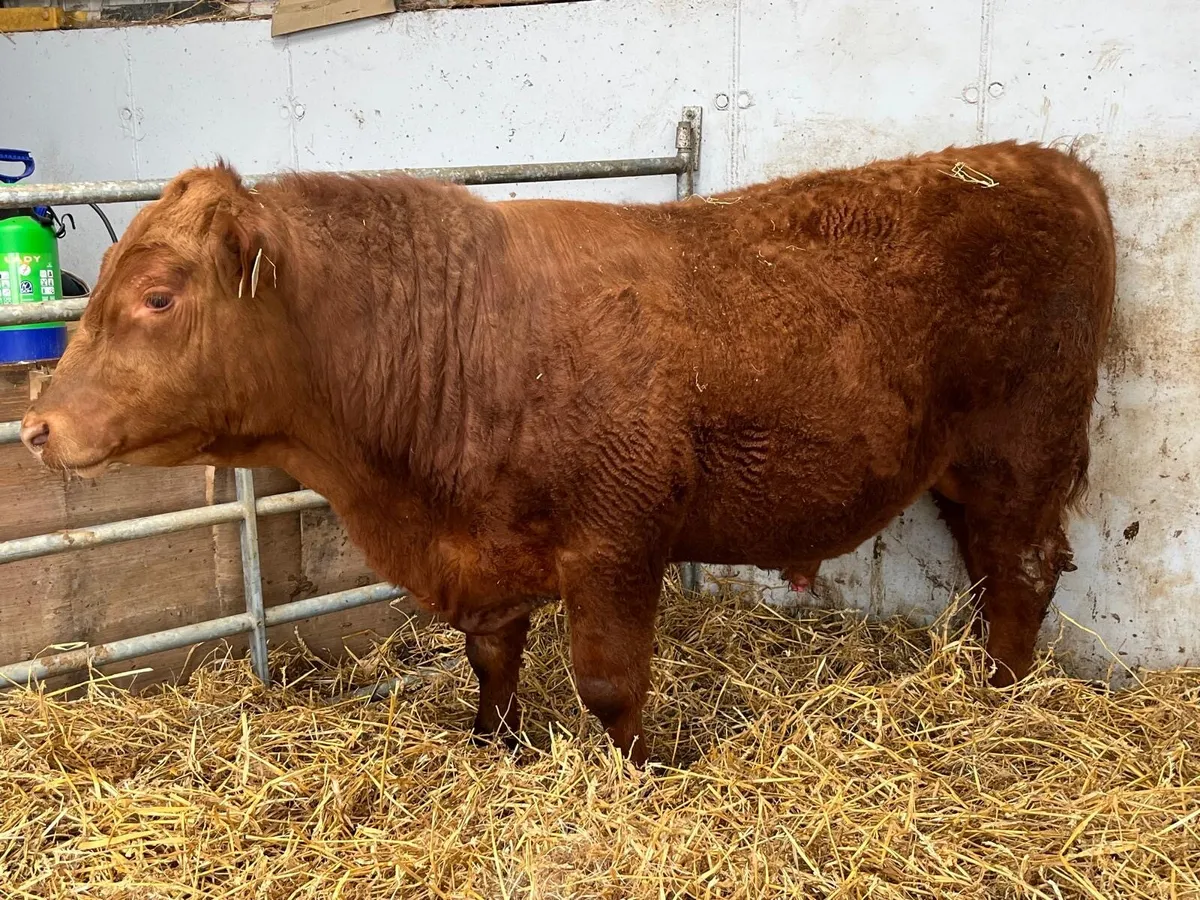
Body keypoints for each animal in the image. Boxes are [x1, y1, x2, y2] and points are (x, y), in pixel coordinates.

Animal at [21, 141, 1115, 765]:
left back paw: (1003, 699)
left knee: (1024, 568)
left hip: (1024, 450)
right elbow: (492, 656)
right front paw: (495, 744)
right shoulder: (486, 553)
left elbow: (609, 683)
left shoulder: (619, 543)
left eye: (159, 295)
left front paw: (647, 770)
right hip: (968, 471)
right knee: (994, 572)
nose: (36, 426)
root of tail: (1041, 161)